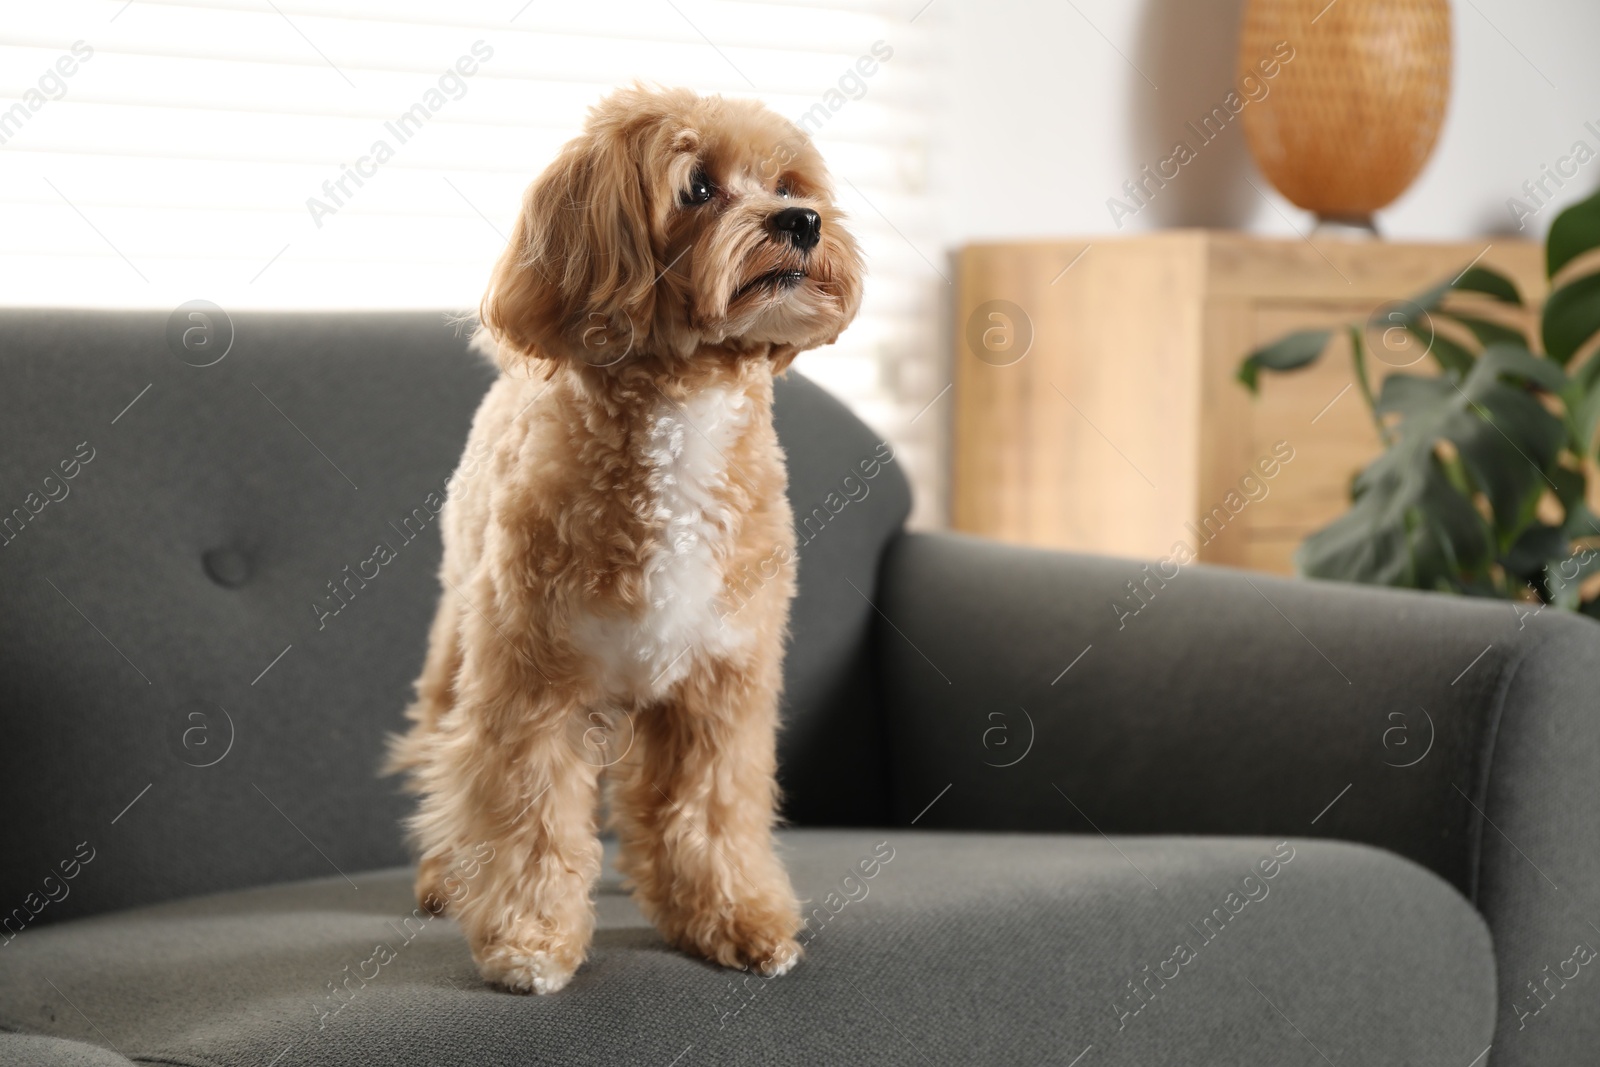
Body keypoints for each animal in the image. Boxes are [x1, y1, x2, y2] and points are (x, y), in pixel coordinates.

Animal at [385, 87, 864, 998]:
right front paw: (529, 940)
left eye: (790, 185)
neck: (685, 411)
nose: (802, 222)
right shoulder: (533, 684)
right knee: (440, 754)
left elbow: (713, 811)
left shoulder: (722, 686)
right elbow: (526, 812)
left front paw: (736, 921)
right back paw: (444, 874)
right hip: (458, 641)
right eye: (698, 187)